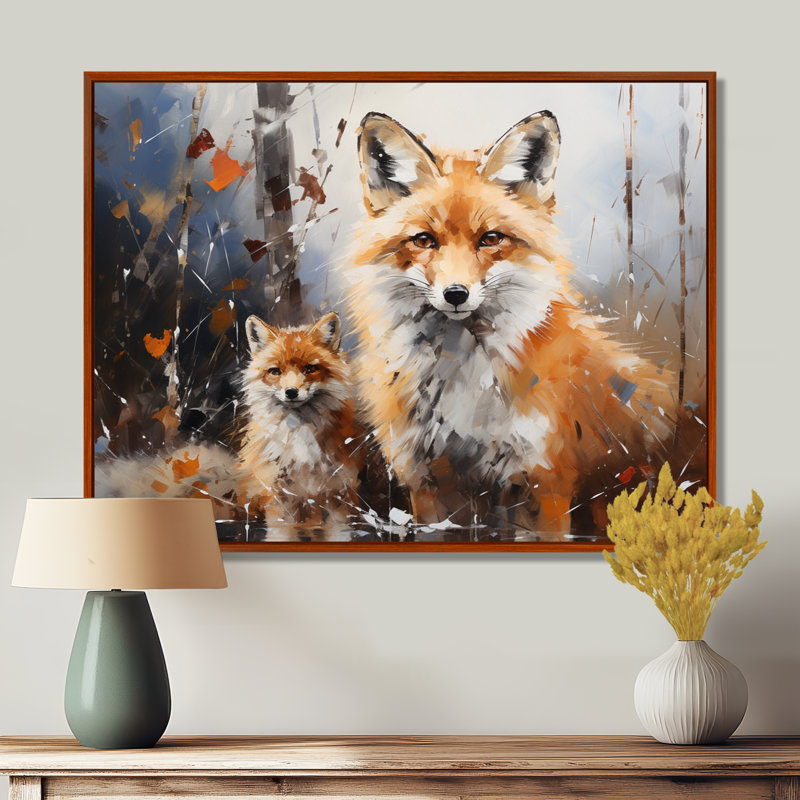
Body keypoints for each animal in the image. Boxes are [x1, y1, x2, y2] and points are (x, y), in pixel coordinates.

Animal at [238, 312, 365, 533]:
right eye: (275, 371)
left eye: (310, 368)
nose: (291, 392)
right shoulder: (278, 496)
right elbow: (280, 533)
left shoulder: (337, 493)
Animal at [340, 111, 679, 537]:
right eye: (423, 240)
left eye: (490, 239)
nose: (456, 294)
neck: (460, 377)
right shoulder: (426, 479)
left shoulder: (544, 479)